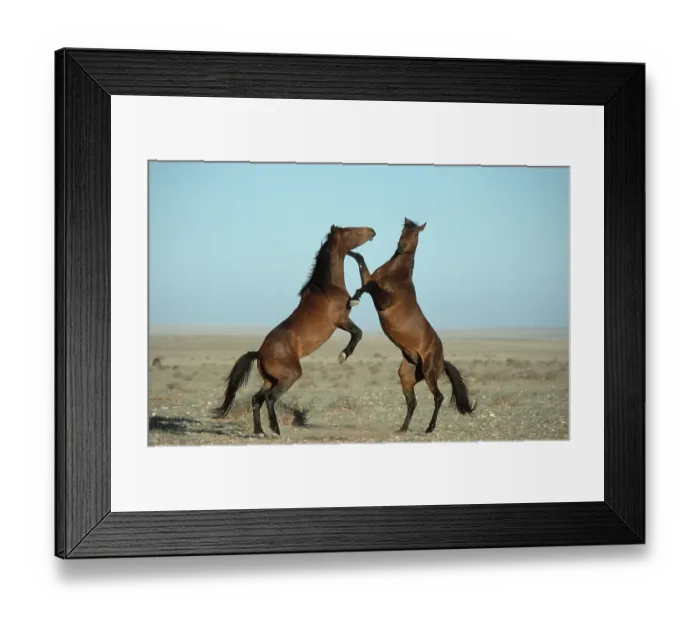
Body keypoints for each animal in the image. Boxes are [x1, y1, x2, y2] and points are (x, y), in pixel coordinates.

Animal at [212, 224, 376, 436]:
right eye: (349, 231)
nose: (372, 231)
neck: (328, 288)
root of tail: (259, 353)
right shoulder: (341, 320)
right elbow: (358, 333)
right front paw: (343, 355)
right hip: (289, 376)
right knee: (270, 398)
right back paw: (275, 429)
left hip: (270, 380)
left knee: (256, 399)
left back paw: (260, 431)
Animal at [347, 218, 477, 434]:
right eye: (403, 230)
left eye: (416, 234)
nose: (401, 246)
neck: (395, 274)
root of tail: (442, 358)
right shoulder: (369, 277)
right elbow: (361, 263)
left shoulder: (384, 301)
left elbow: (370, 286)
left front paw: (354, 298)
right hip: (407, 375)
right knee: (412, 402)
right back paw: (403, 428)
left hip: (429, 373)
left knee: (438, 397)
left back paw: (429, 428)